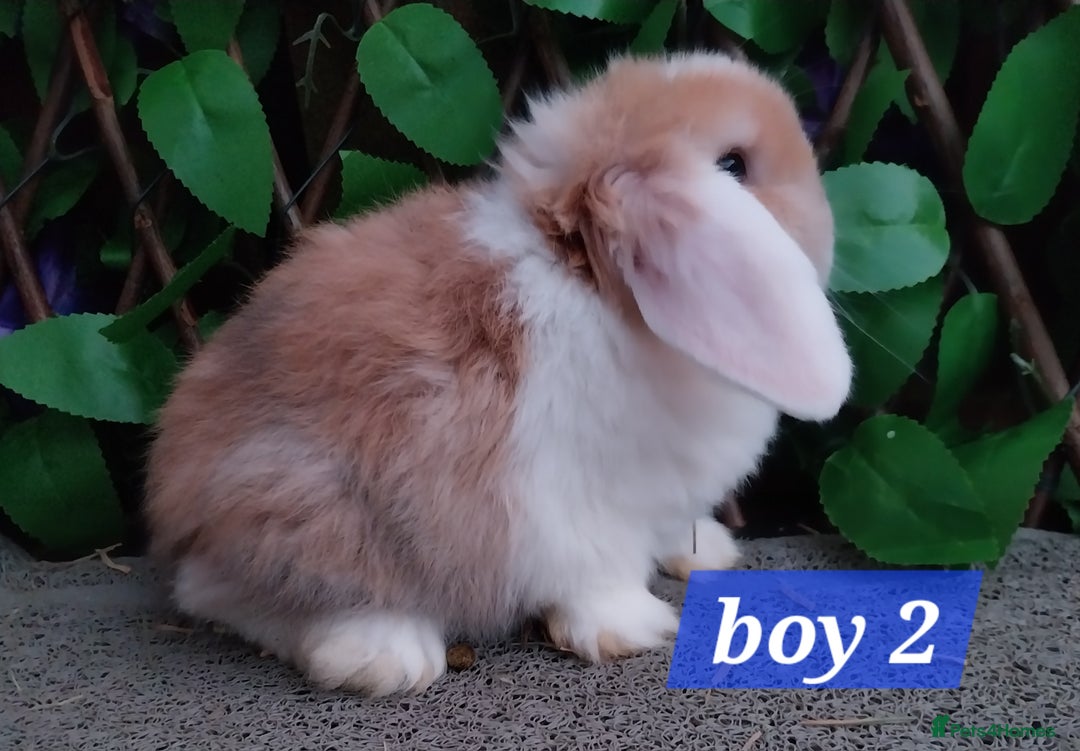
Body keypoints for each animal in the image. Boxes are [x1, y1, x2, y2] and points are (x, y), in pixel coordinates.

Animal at [143, 50, 852, 697]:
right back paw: (384, 654)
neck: (591, 282)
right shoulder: (566, 504)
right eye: (734, 165)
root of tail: (173, 497)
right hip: (303, 503)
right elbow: (595, 571)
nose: (828, 216)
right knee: (239, 598)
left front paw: (708, 554)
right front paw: (636, 628)